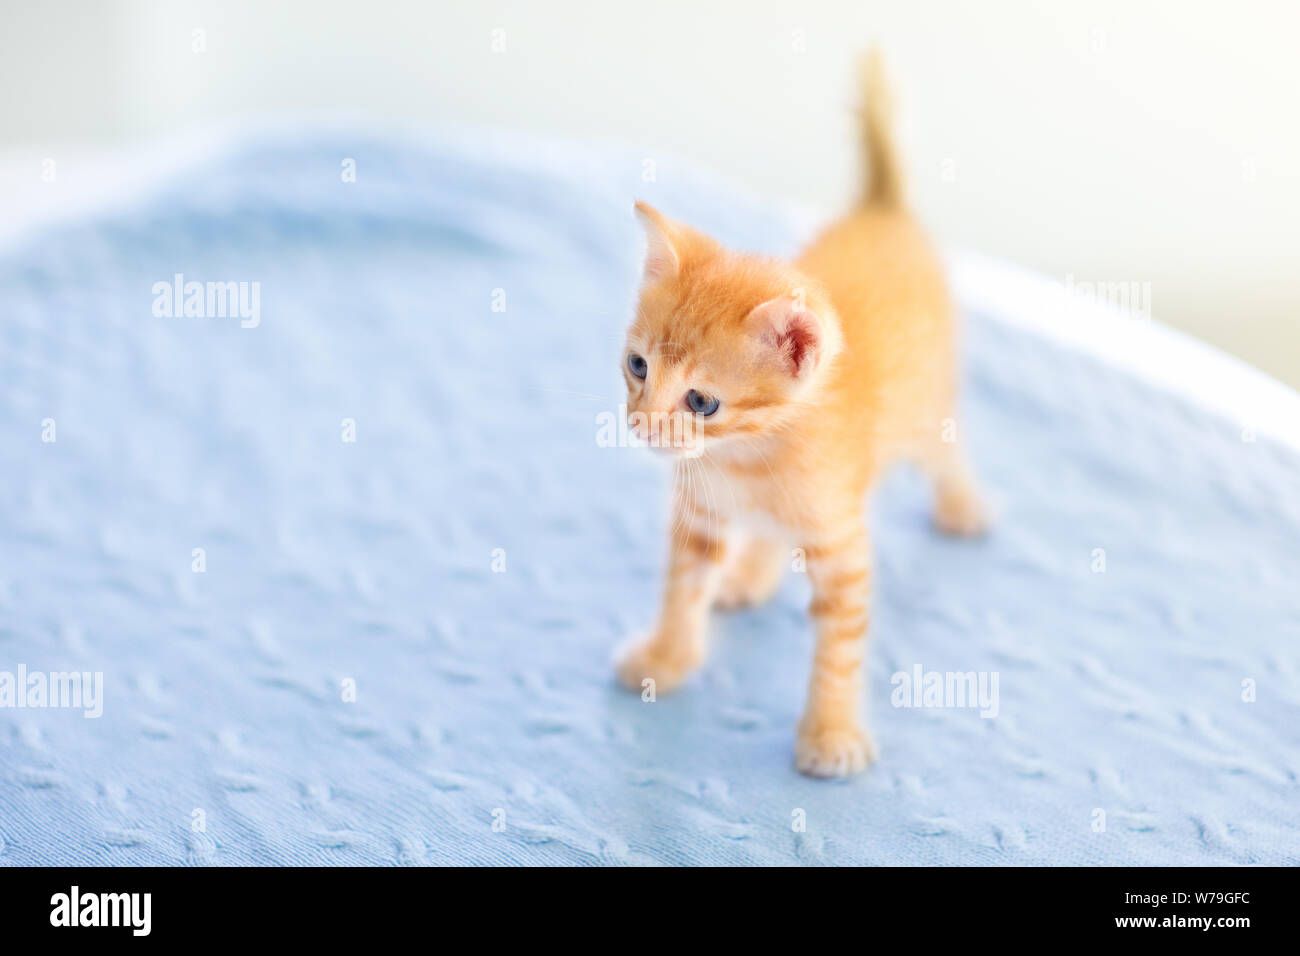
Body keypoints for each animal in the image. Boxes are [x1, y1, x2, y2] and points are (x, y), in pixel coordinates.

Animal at [613, 55, 987, 780]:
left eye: (701, 402)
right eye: (638, 366)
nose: (640, 427)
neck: (748, 458)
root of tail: (881, 207)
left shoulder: (843, 543)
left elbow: (839, 648)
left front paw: (829, 733)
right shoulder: (699, 513)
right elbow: (682, 588)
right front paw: (667, 659)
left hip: (928, 408)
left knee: (946, 452)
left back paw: (964, 507)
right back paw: (749, 574)